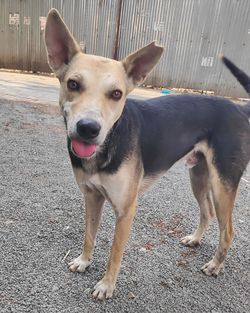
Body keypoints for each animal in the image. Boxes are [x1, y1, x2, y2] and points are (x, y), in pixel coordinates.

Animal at [44, 8, 250, 298]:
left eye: (116, 94)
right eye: (73, 84)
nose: (88, 128)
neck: (110, 142)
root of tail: (239, 109)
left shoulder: (126, 210)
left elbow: (115, 252)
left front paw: (107, 285)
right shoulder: (92, 197)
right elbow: (89, 235)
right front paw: (84, 261)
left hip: (223, 184)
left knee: (228, 230)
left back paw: (215, 265)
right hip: (198, 175)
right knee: (207, 212)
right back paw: (195, 239)